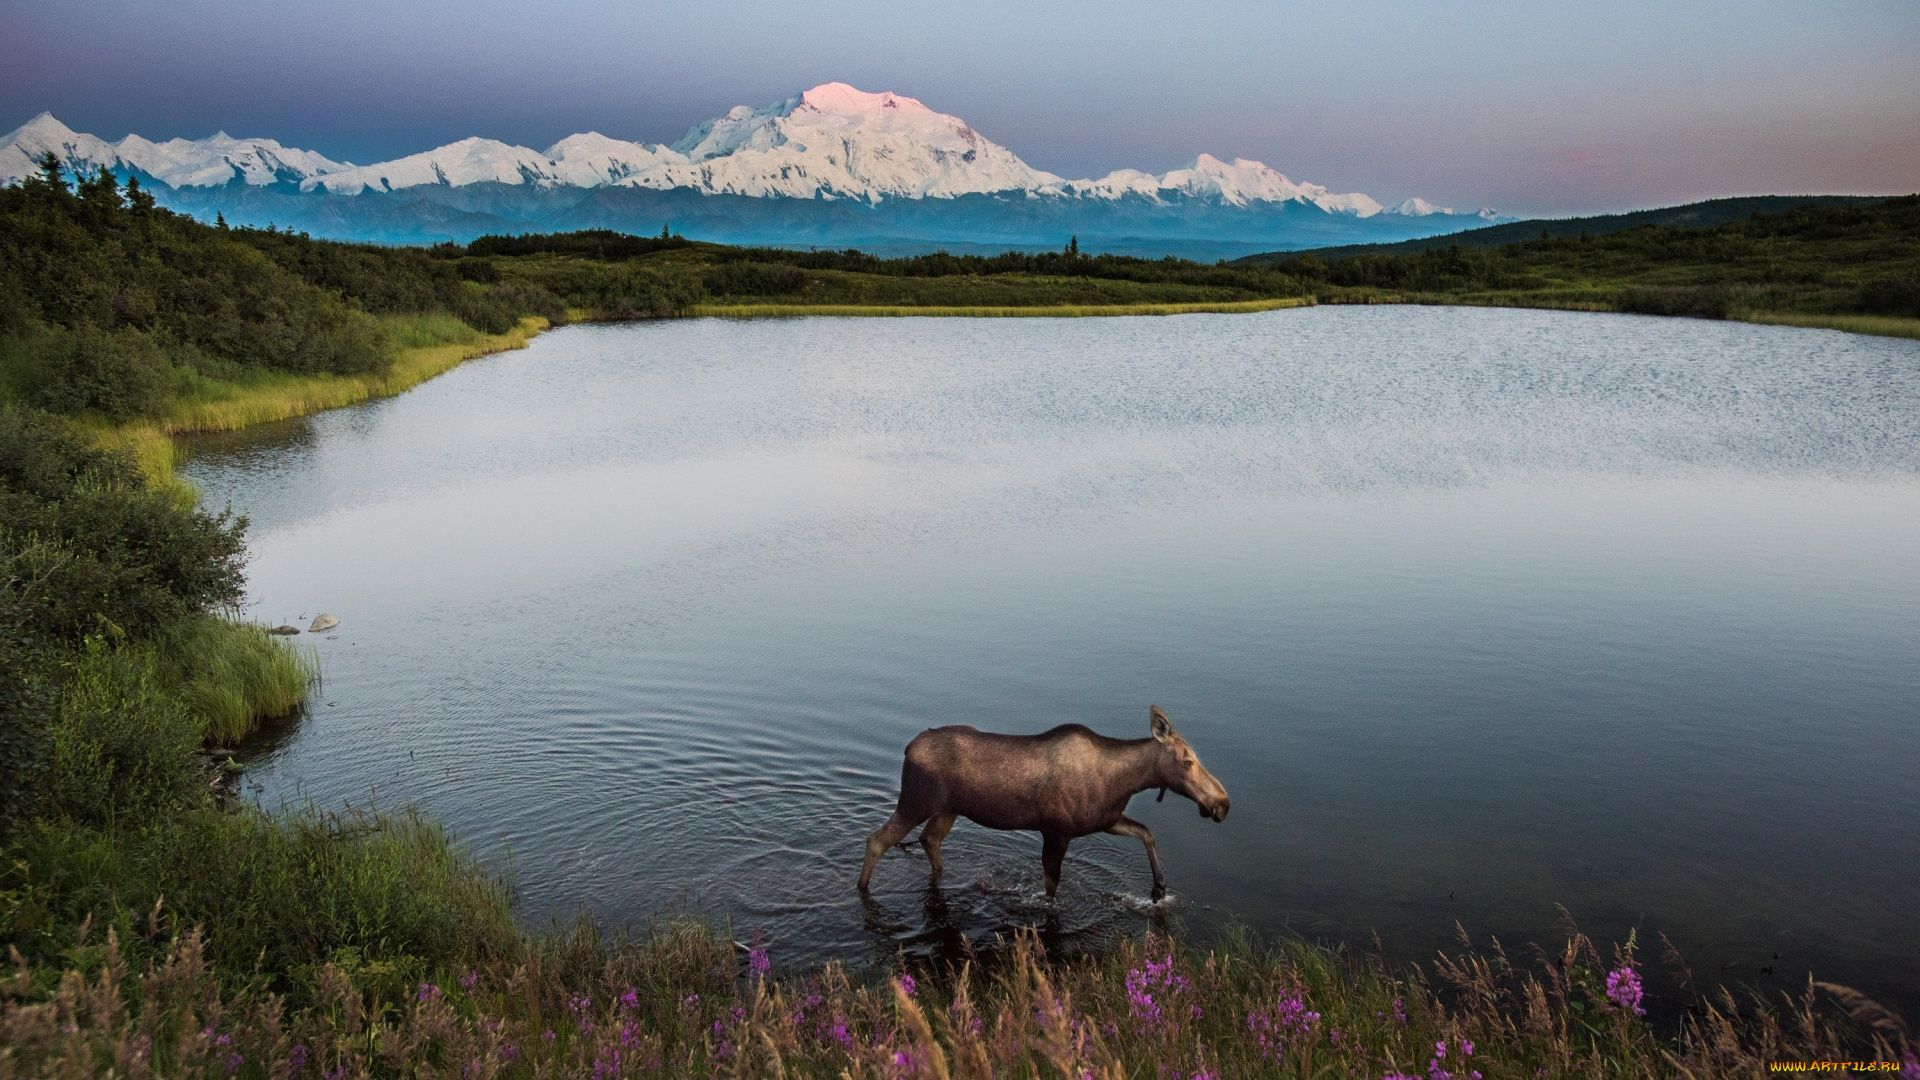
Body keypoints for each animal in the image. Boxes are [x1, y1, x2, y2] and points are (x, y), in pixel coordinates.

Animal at [856, 703, 1228, 895]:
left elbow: (1146, 832)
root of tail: (907, 749)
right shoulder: (1057, 831)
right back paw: (861, 889)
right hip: (915, 801)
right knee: (877, 840)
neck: (1122, 784)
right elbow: (1051, 888)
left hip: (947, 809)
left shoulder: (1105, 820)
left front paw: (1159, 886)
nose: (1223, 803)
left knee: (928, 839)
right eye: (1187, 761)